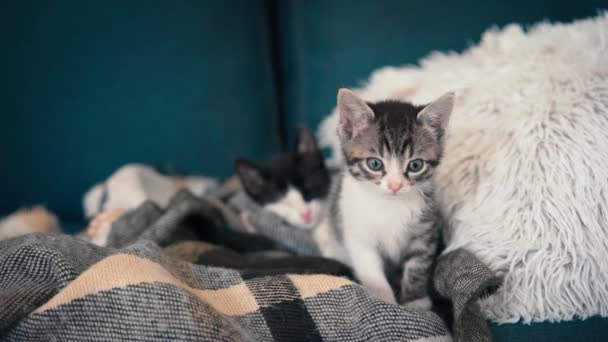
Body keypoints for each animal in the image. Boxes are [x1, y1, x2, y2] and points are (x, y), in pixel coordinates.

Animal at [316, 88, 454, 310]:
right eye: (375, 164)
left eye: (415, 165)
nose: (395, 185)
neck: (390, 204)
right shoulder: (359, 237)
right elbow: (372, 272)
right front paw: (386, 302)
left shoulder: (425, 231)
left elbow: (417, 267)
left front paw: (415, 302)